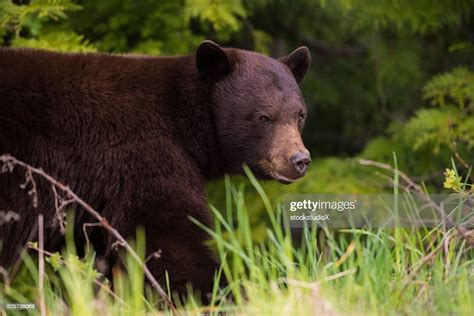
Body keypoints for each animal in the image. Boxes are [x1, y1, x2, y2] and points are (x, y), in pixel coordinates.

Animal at [0, 41, 312, 298]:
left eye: (299, 115)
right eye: (264, 117)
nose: (299, 159)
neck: (183, 122)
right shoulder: (139, 154)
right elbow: (165, 236)